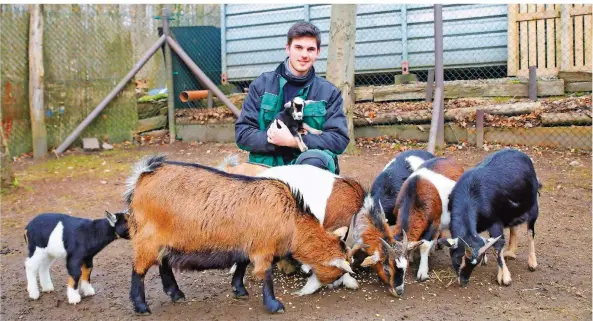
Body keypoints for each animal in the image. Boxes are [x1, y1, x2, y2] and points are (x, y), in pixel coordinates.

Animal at [122, 154, 350, 314]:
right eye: (338, 272)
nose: (335, 285)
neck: (291, 218)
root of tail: (141, 178)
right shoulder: (263, 247)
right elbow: (266, 274)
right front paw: (274, 305)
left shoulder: (246, 244)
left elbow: (241, 266)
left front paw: (239, 290)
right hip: (147, 237)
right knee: (138, 270)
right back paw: (141, 306)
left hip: (165, 240)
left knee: (164, 263)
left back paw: (176, 294)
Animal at [390, 155, 464, 296]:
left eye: (403, 268)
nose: (396, 290)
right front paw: (412, 256)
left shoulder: (433, 223)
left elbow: (424, 245)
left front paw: (422, 273)